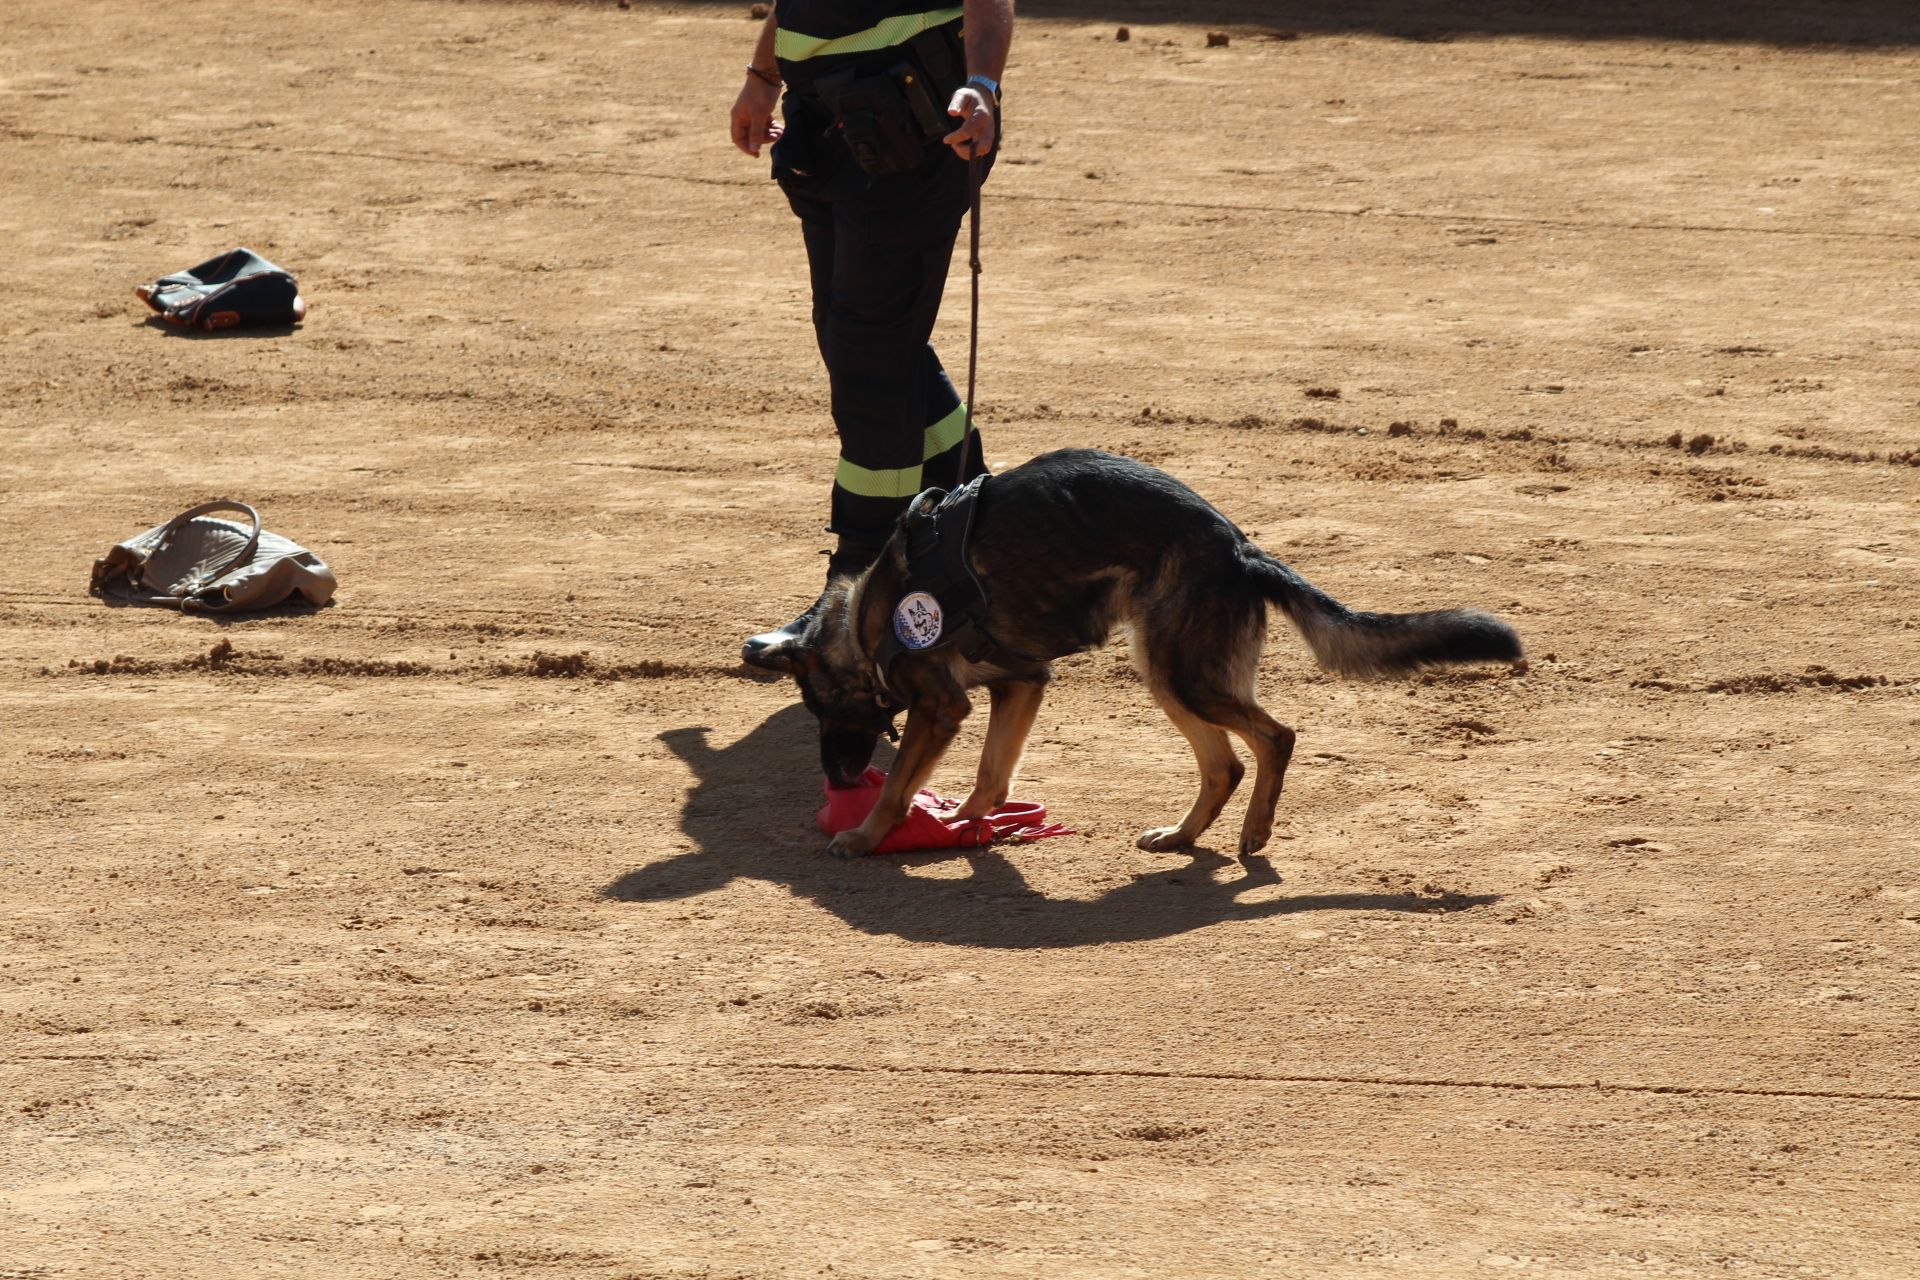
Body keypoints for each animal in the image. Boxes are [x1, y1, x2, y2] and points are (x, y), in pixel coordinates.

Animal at [756, 450, 1520, 859]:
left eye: (822, 708)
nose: (836, 776)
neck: (866, 614)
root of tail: (1238, 547)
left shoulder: (942, 706)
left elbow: (898, 786)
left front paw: (865, 835)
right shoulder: (1022, 684)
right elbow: (992, 776)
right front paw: (964, 822)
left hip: (1177, 673)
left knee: (1274, 737)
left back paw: (1254, 832)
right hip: (1170, 675)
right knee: (1226, 764)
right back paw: (1183, 835)